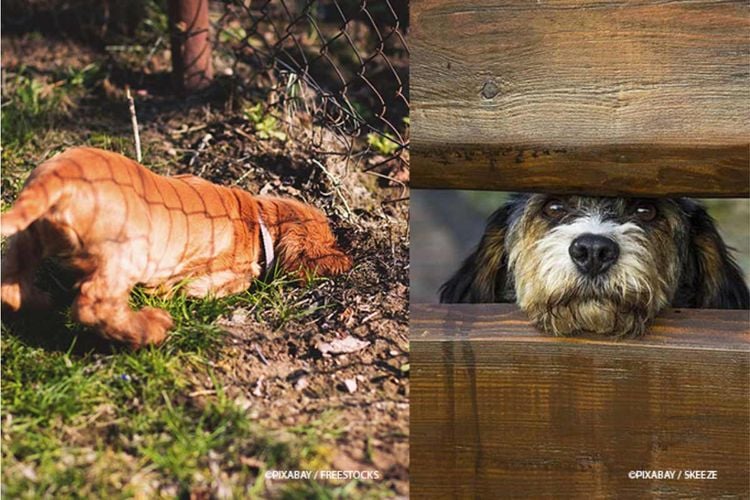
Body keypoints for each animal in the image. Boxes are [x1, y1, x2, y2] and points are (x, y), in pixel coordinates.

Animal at [1, 146, 354, 346]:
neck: (258, 221)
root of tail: (59, 178)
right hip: (127, 253)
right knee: (94, 306)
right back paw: (151, 329)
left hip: (28, 237)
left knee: (11, 286)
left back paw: (42, 302)